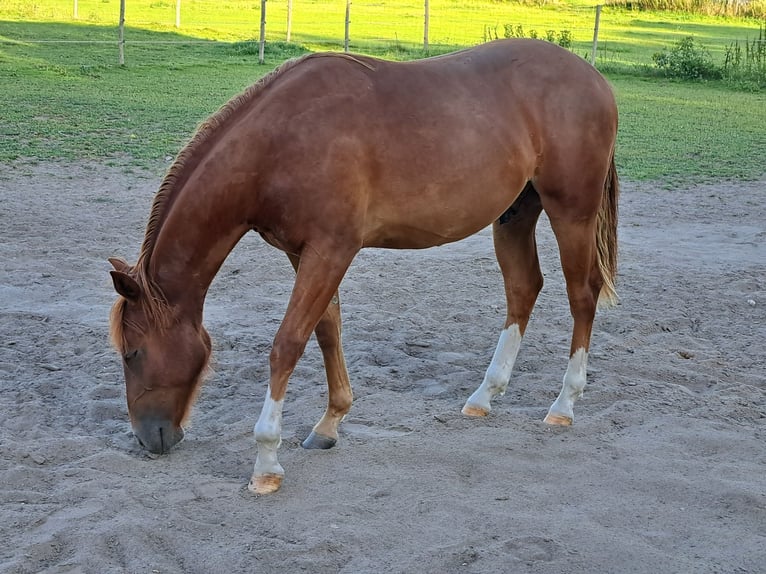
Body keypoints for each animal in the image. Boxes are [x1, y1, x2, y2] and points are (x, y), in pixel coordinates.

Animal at [109, 38, 619, 495]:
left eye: (132, 352)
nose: (148, 439)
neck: (280, 141)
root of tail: (593, 78)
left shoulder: (331, 250)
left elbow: (287, 344)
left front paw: (266, 462)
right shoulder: (304, 252)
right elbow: (326, 329)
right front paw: (330, 423)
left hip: (571, 212)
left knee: (582, 294)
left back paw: (564, 404)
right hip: (515, 214)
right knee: (523, 289)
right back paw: (484, 396)